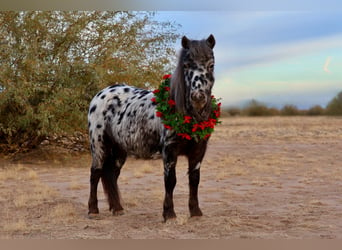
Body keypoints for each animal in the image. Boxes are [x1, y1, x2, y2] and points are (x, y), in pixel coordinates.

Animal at [88, 33, 216, 221]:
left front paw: (195, 212)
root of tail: (101, 94)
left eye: (211, 64)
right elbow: (170, 181)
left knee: (111, 175)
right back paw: (93, 210)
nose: (198, 97)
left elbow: (194, 180)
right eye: (186, 65)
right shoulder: (169, 150)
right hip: (99, 145)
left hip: (119, 149)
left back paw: (117, 208)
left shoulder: (198, 151)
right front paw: (169, 214)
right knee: (95, 173)